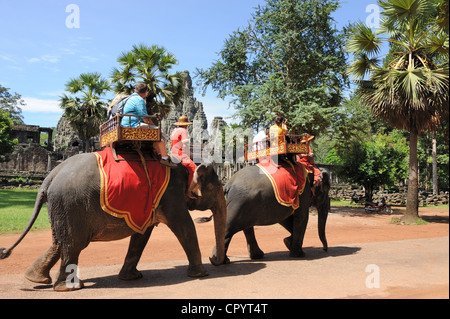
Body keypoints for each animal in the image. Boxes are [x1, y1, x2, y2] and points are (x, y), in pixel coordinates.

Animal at [0, 152, 225, 292]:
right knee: (73, 244)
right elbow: (184, 226)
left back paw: (36, 278)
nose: (215, 260)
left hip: (60, 207)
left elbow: (142, 235)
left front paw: (131, 277)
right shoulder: (171, 196)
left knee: (60, 242)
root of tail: (50, 176)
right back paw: (70, 287)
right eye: (217, 187)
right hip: (70, 204)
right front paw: (201, 274)